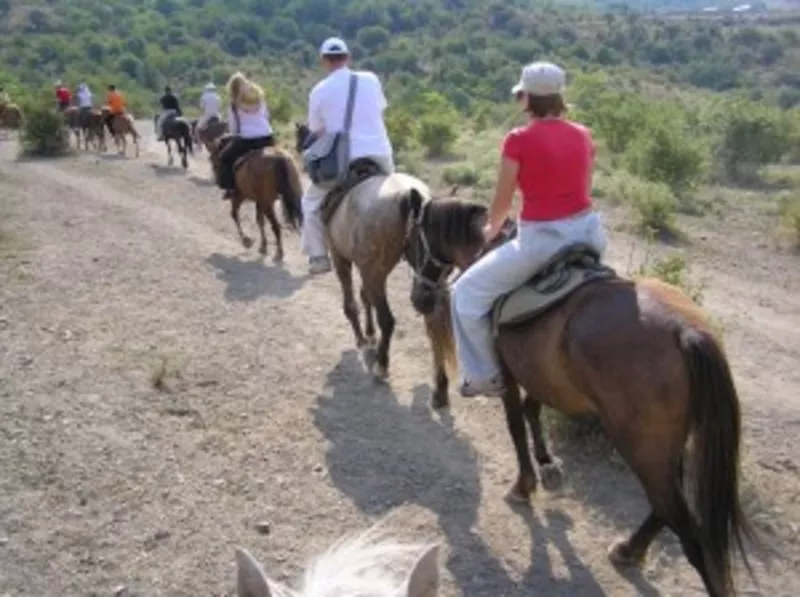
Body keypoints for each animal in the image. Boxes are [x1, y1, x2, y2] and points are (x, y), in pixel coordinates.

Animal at [406, 193, 756, 592]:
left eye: (413, 241)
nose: (420, 298)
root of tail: (685, 332)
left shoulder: (507, 375)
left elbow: (516, 423)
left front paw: (524, 485)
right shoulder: (540, 373)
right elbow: (533, 409)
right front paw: (546, 464)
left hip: (639, 444)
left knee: (685, 527)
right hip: (664, 443)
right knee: (665, 505)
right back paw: (629, 549)